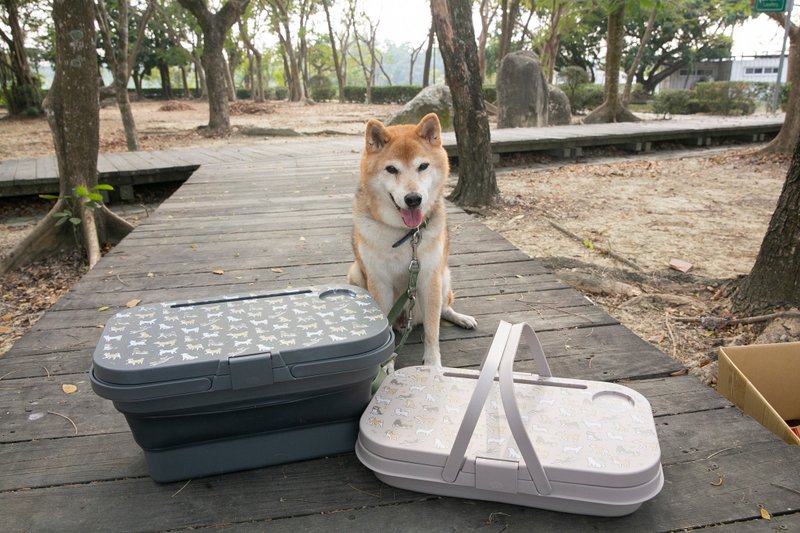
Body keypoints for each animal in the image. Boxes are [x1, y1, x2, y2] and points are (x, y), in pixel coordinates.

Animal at [348, 113, 476, 366]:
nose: (413, 199)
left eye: (423, 166)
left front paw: (433, 365)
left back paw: (461, 318)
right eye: (391, 169)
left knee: (443, 310)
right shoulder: (380, 283)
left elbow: (432, 331)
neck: (405, 235)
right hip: (356, 272)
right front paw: (387, 366)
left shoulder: (429, 278)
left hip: (443, 277)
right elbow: (386, 330)